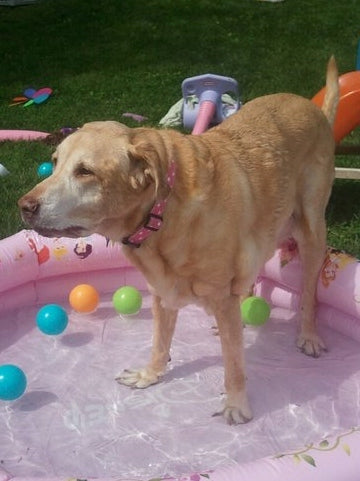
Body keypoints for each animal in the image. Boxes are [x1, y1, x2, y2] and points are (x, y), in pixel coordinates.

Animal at [18, 57, 338, 424]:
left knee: (309, 293)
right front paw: (150, 374)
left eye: (85, 171)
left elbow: (233, 365)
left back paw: (308, 334)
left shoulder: (215, 293)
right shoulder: (161, 289)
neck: (162, 211)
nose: (24, 206)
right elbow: (160, 341)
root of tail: (313, 108)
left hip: (312, 231)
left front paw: (236, 404)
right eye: (55, 164)